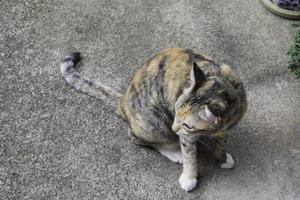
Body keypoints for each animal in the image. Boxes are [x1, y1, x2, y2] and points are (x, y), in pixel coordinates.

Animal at [59, 47, 247, 191]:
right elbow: (189, 156)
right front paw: (189, 178)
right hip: (156, 124)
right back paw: (173, 152)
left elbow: (220, 142)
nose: (175, 128)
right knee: (138, 138)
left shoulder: (222, 128)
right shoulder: (185, 136)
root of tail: (124, 100)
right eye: (176, 112)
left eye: (187, 124)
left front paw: (222, 158)